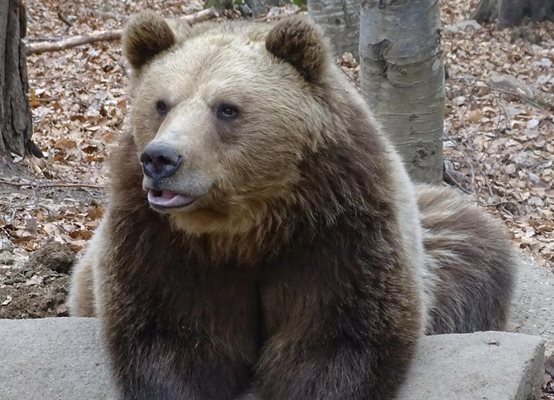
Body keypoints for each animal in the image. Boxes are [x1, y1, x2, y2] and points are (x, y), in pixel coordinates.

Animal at [68, 12, 512, 400]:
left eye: (226, 108)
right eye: (161, 103)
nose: (161, 159)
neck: (247, 223)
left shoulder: (337, 230)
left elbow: (335, 339)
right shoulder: (158, 239)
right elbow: (172, 335)